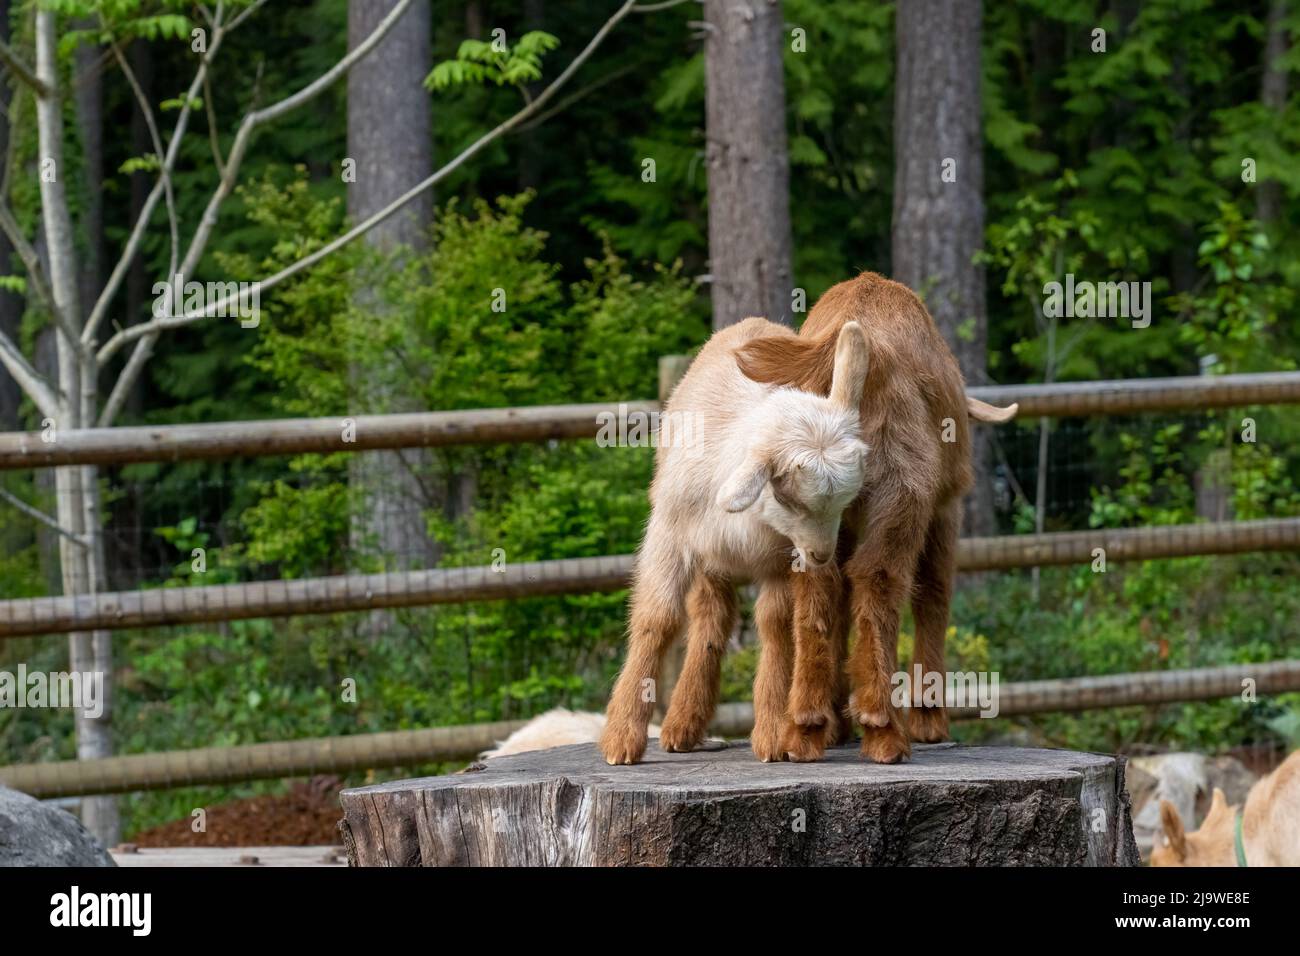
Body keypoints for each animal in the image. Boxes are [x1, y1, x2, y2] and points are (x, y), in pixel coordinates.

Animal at [600, 317, 872, 765]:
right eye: (787, 497)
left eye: (846, 502)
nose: (820, 555)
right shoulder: (668, 536)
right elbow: (658, 620)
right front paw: (621, 739)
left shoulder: (780, 561)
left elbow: (776, 626)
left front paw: (774, 735)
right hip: (706, 556)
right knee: (709, 615)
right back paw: (681, 727)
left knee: (718, 617)